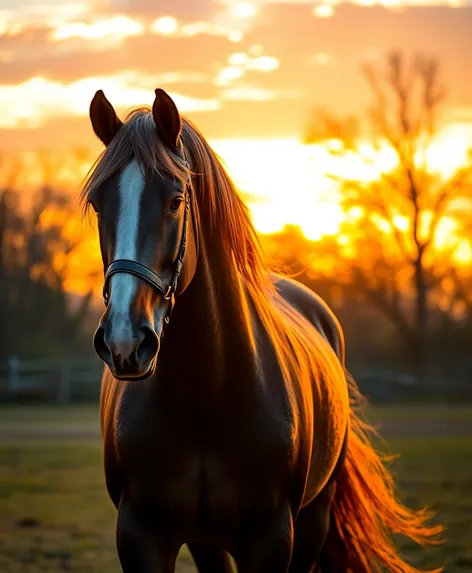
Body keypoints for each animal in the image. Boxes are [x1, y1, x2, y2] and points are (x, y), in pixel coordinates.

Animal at [82, 87, 442, 568]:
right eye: (99, 203)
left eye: (175, 200)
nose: (125, 339)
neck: (206, 400)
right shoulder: (142, 536)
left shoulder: (272, 537)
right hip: (208, 541)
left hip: (314, 518)